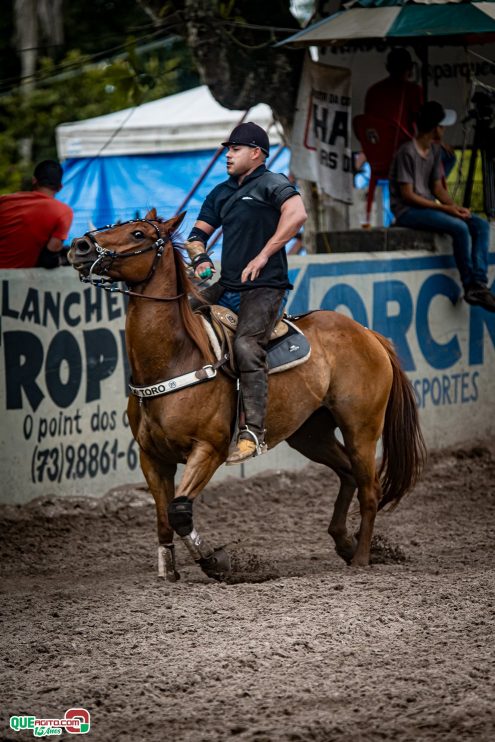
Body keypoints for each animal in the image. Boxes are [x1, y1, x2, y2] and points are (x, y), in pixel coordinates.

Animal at [69, 209, 426, 580]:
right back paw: (344, 542)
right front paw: (169, 572)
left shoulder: (207, 451)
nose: (80, 245)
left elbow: (180, 511)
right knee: (348, 474)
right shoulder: (151, 457)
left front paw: (219, 561)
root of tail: (368, 334)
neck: (175, 358)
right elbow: (164, 517)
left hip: (362, 429)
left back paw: (361, 558)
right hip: (311, 435)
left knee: (371, 490)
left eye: (138, 233)